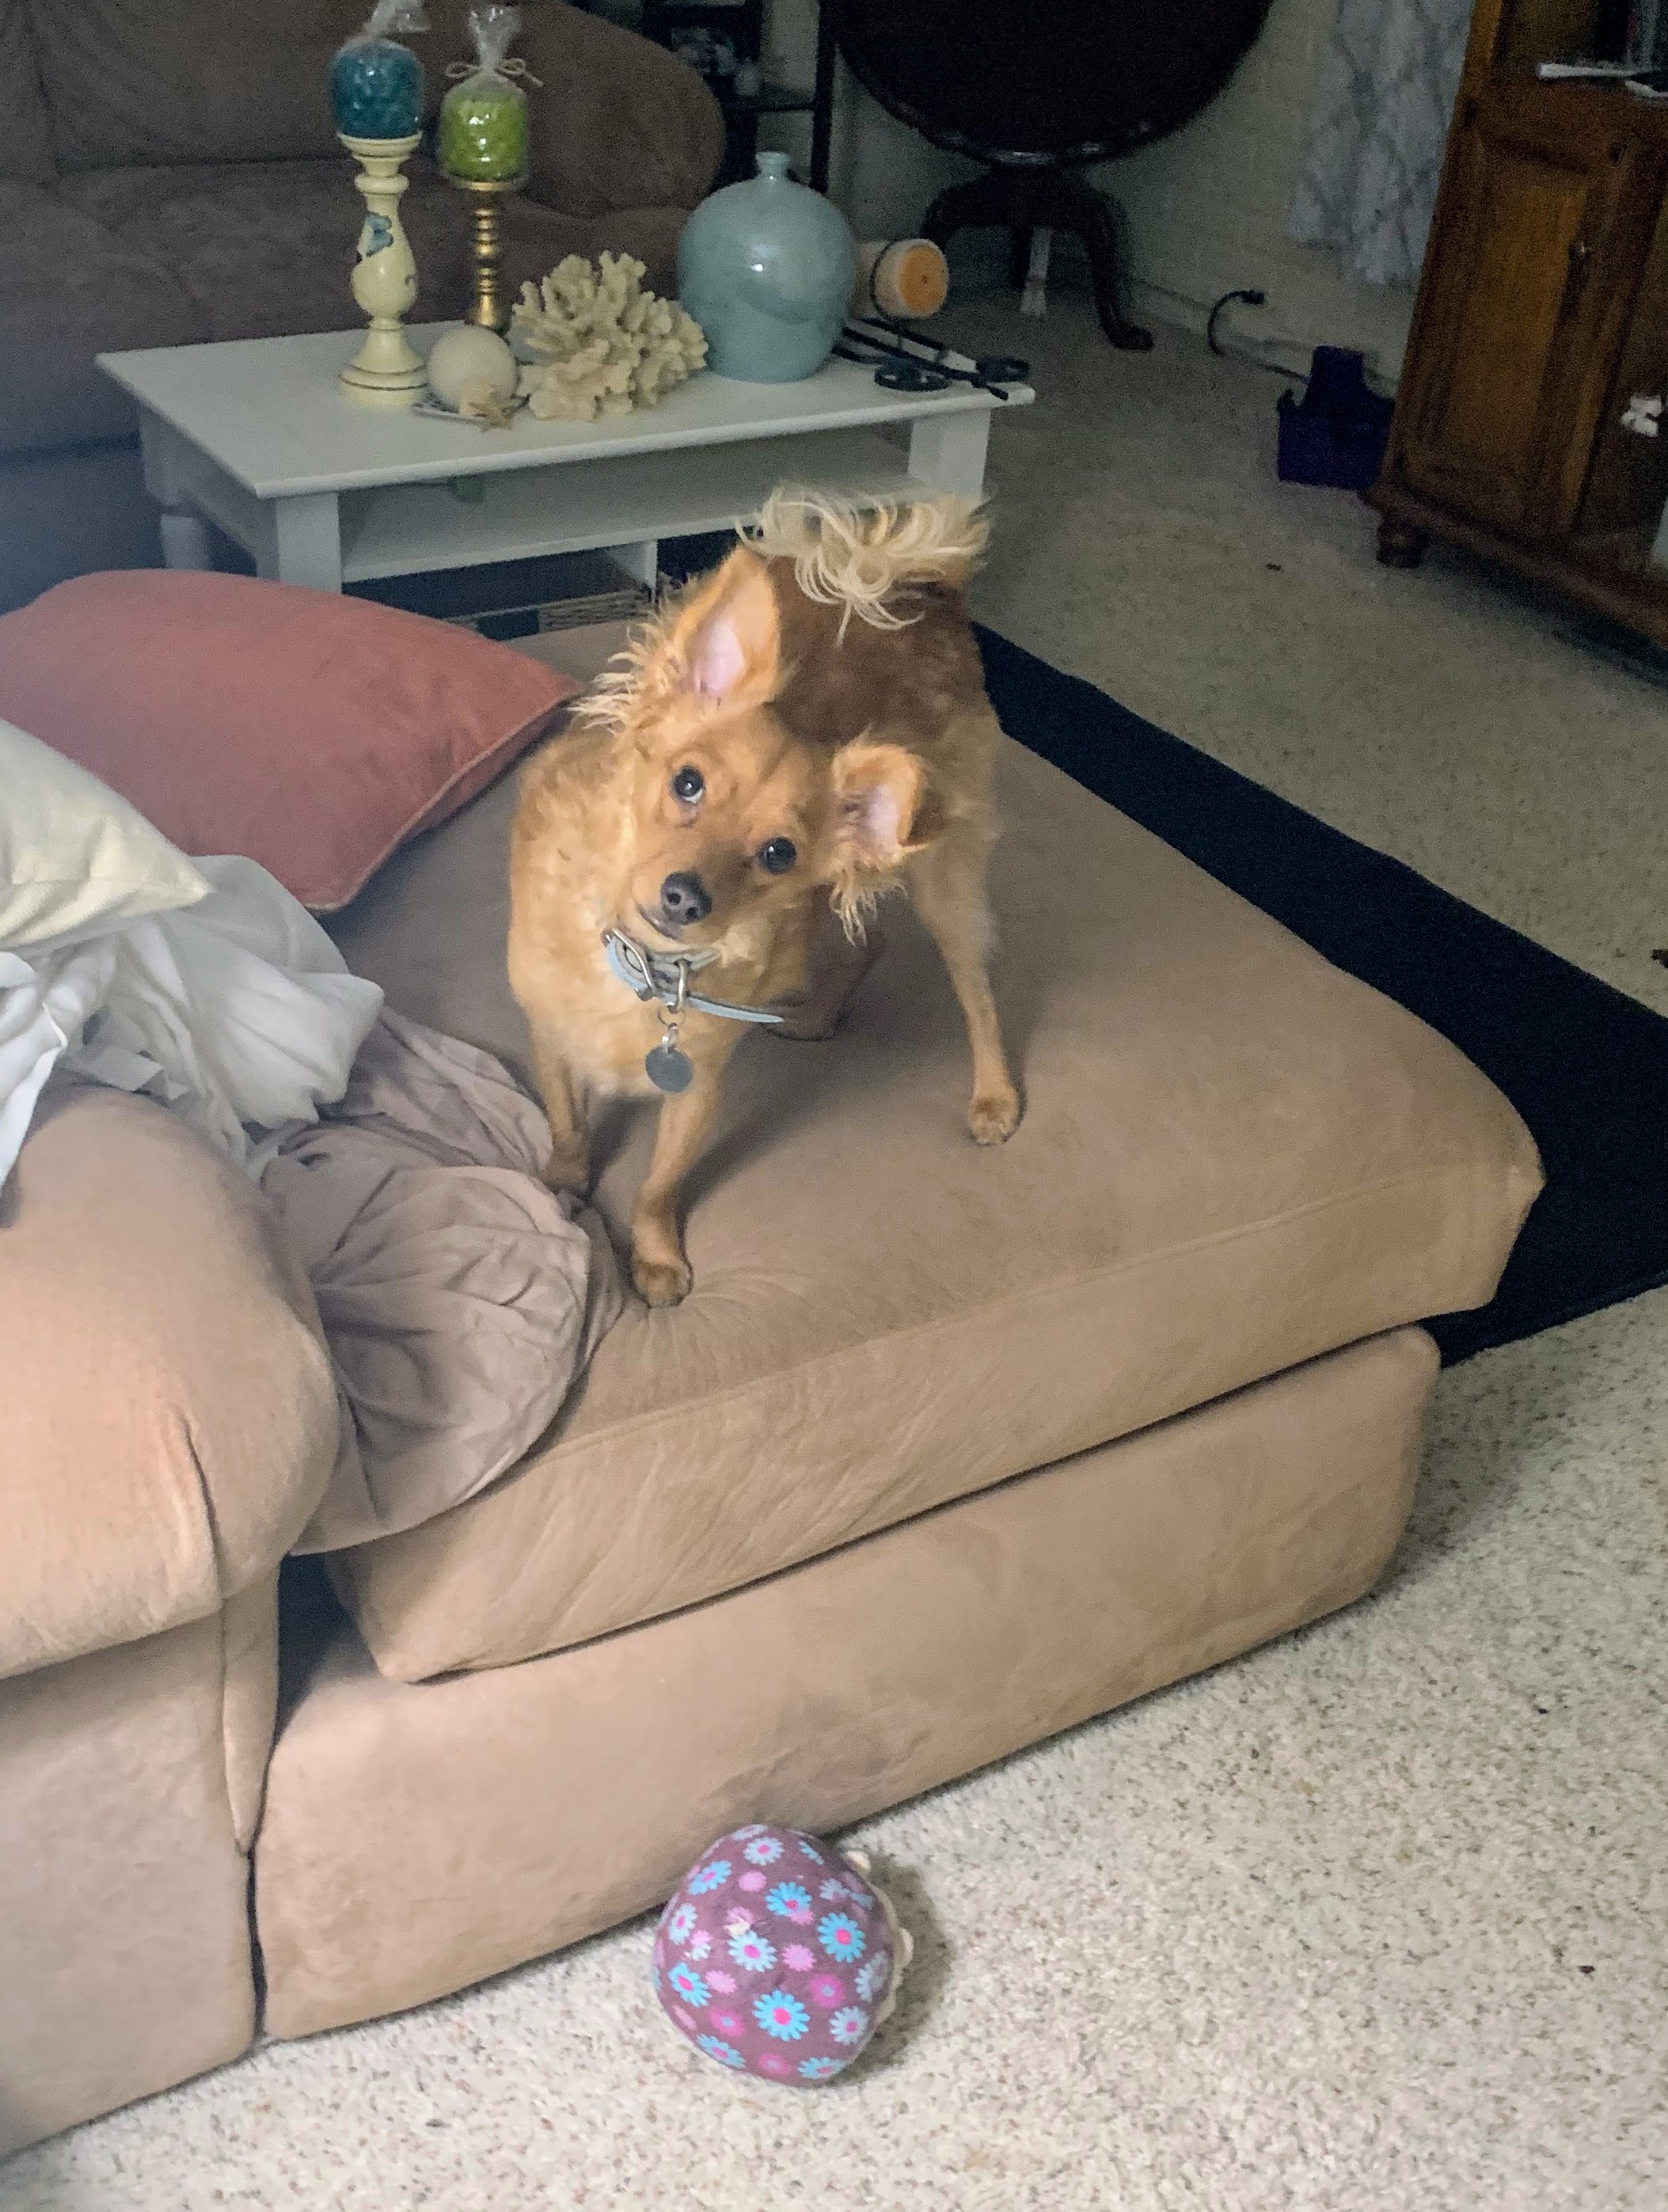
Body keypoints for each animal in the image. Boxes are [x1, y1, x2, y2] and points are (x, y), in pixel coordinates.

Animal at [507, 489, 1022, 1308]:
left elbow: (657, 1184)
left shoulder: (697, 1089)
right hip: (838, 903)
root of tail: (925, 595)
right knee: (869, 940)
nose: (684, 897)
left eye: (778, 852)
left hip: (943, 882)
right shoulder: (550, 1035)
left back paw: (993, 1098)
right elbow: (566, 1123)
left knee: (975, 989)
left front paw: (654, 1256)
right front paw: (563, 1182)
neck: (645, 969)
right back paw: (814, 1017)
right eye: (686, 782)